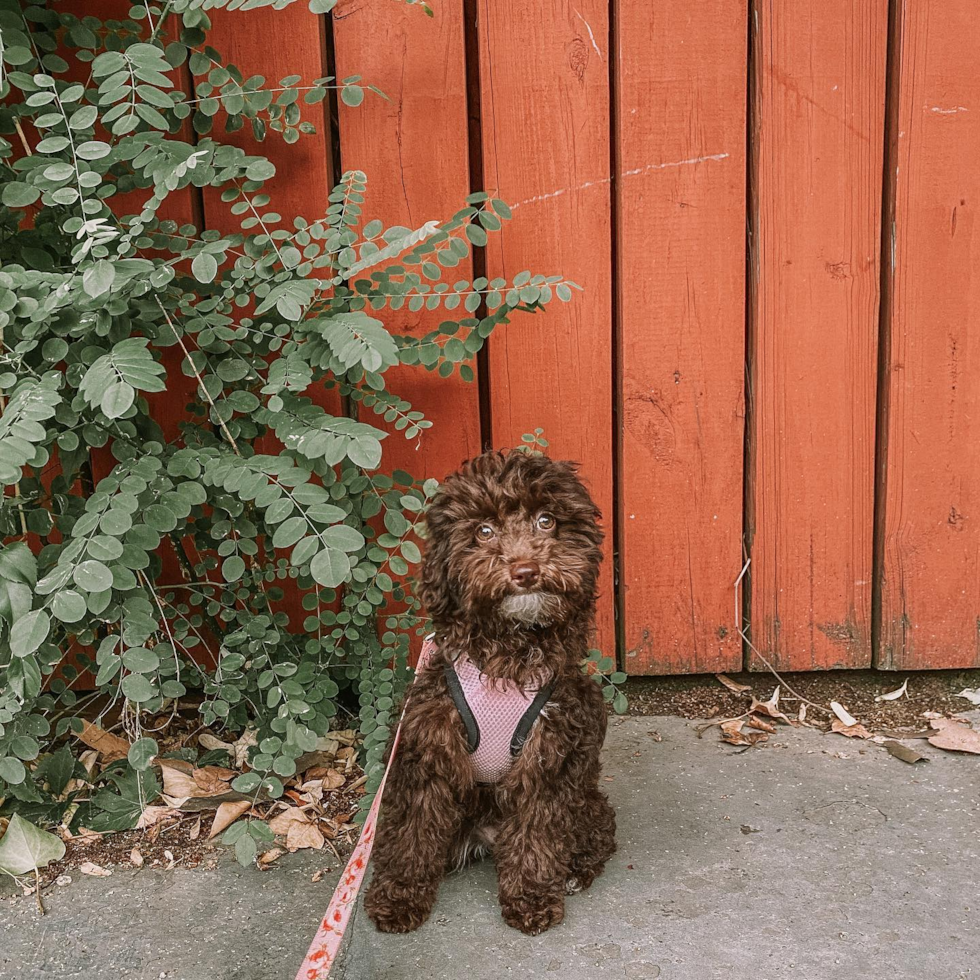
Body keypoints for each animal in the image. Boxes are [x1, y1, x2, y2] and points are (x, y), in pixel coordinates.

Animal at [364, 450, 616, 936]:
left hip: (585, 783)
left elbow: (537, 831)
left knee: (597, 828)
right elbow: (410, 831)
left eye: (546, 521)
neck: (508, 653)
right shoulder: (427, 744)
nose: (526, 571)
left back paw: (574, 870)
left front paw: (532, 897)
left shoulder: (551, 751)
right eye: (483, 531)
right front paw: (399, 896)